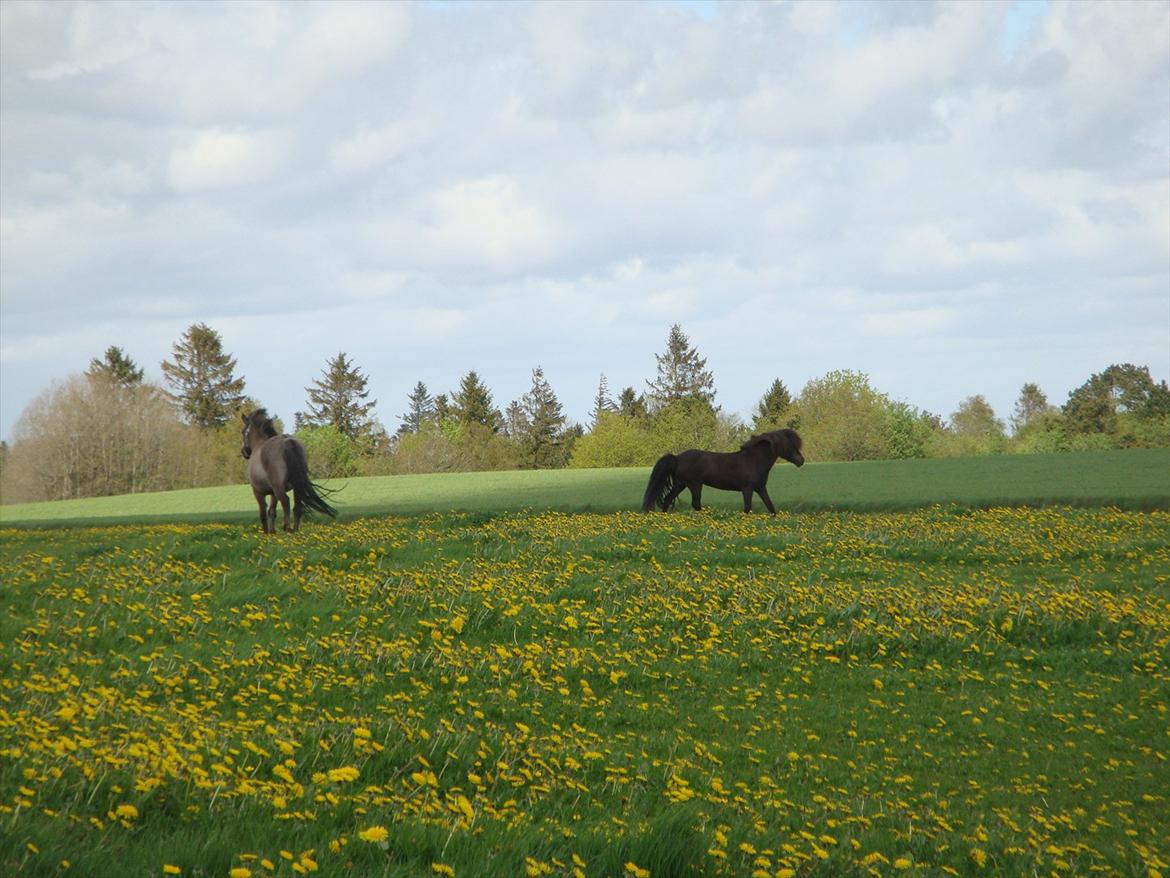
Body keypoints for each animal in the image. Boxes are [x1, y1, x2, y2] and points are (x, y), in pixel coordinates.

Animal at [641, 430, 804, 519]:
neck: (754, 460)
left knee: (668, 499)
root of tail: (677, 458)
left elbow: (770, 507)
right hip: (694, 484)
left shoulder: (760, 488)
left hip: (681, 484)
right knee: (695, 503)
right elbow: (747, 507)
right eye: (789, 446)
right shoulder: (747, 488)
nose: (801, 461)